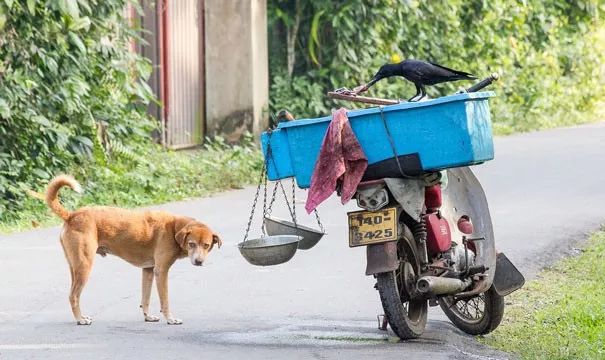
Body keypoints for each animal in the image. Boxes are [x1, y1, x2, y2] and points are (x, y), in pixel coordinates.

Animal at [44, 175, 223, 326]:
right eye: (191, 244)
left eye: (206, 245)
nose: (199, 261)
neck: (174, 228)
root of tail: (72, 215)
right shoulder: (161, 271)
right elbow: (164, 300)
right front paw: (170, 319)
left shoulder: (148, 270)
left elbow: (145, 298)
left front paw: (147, 316)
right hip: (84, 267)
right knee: (73, 296)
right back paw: (80, 319)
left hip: (74, 268)